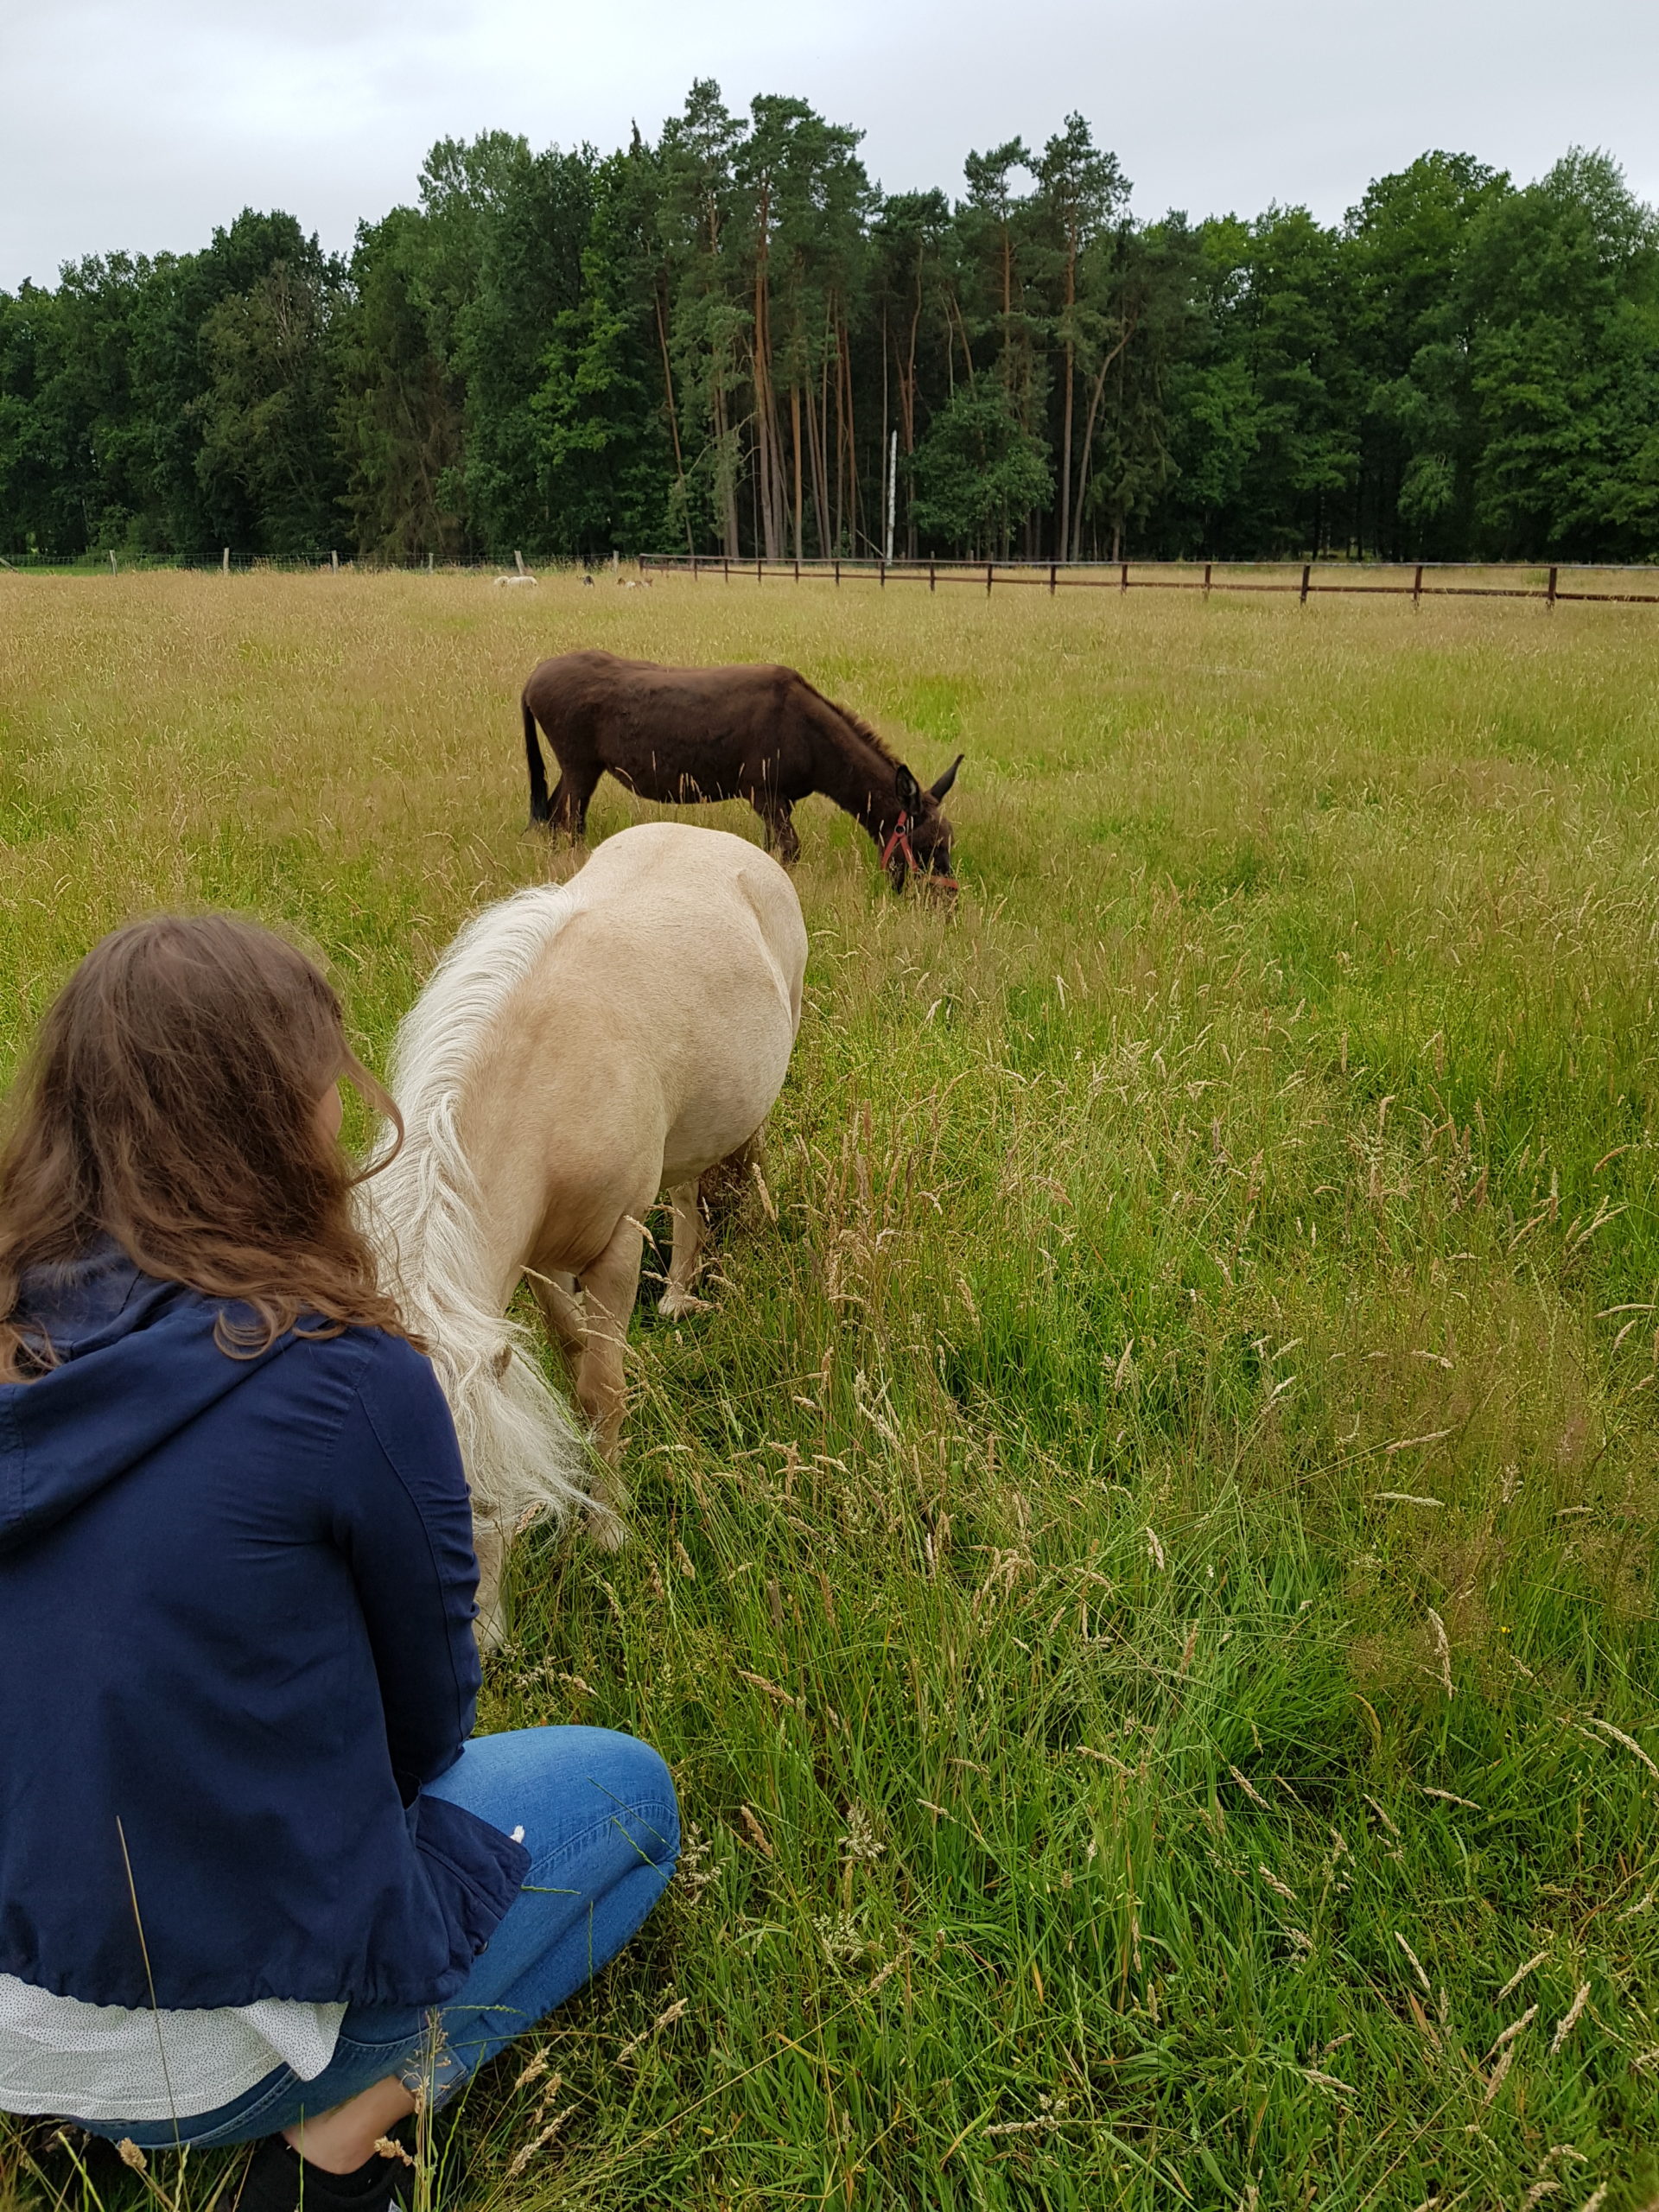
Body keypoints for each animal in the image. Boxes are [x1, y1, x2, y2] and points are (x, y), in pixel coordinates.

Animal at [365, 822, 808, 1633]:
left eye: (478, 1502)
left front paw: (608, 1527)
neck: (543, 1079)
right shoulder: (538, 1262)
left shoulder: (617, 1243)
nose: (477, 1643)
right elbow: (572, 1354)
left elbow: (603, 1386)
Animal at [521, 649, 962, 892]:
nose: (948, 905)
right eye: (926, 849)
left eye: (948, 845)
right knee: (568, 821)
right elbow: (790, 849)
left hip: (578, 768)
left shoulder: (778, 801)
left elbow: (774, 849)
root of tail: (534, 676)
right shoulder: (764, 793)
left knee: (557, 816)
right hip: (580, 765)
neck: (809, 734)